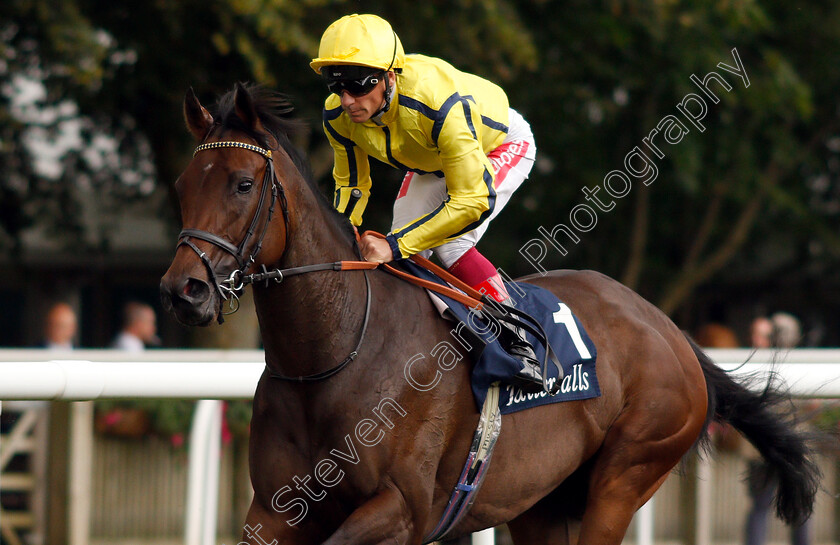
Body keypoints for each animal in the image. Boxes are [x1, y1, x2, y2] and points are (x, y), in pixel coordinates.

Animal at [161, 83, 816, 540]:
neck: (333, 352)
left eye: (243, 184)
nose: (182, 291)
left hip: (627, 473)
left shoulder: (402, 508)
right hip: (538, 501)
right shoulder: (273, 509)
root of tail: (672, 333)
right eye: (182, 185)